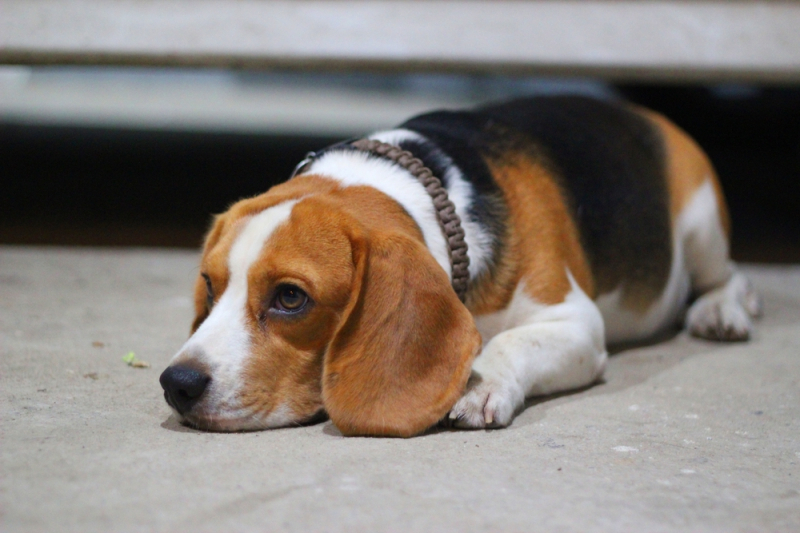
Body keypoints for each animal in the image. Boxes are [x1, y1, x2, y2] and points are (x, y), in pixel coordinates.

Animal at [159, 95, 760, 436]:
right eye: (209, 285)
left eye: (290, 297)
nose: (176, 383)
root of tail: (640, 110)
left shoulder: (576, 321)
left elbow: (512, 341)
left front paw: (479, 384)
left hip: (701, 224)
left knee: (728, 275)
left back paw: (724, 310)